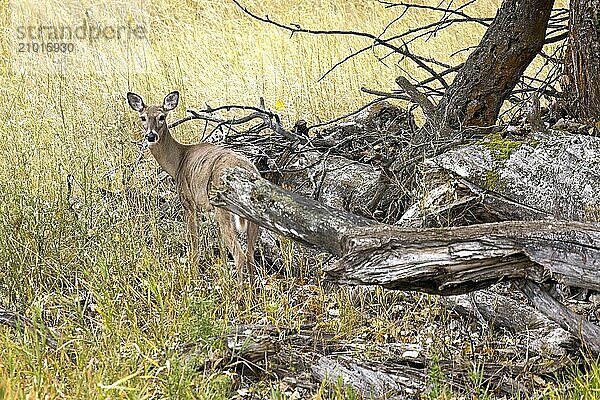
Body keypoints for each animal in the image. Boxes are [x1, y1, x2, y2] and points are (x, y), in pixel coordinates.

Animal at [126, 92, 258, 282]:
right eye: (142, 117)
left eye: (162, 117)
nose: (150, 136)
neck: (178, 161)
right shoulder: (210, 209)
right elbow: (221, 248)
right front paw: (224, 277)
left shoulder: (189, 203)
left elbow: (194, 243)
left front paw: (194, 275)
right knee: (250, 255)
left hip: (225, 209)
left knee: (240, 255)